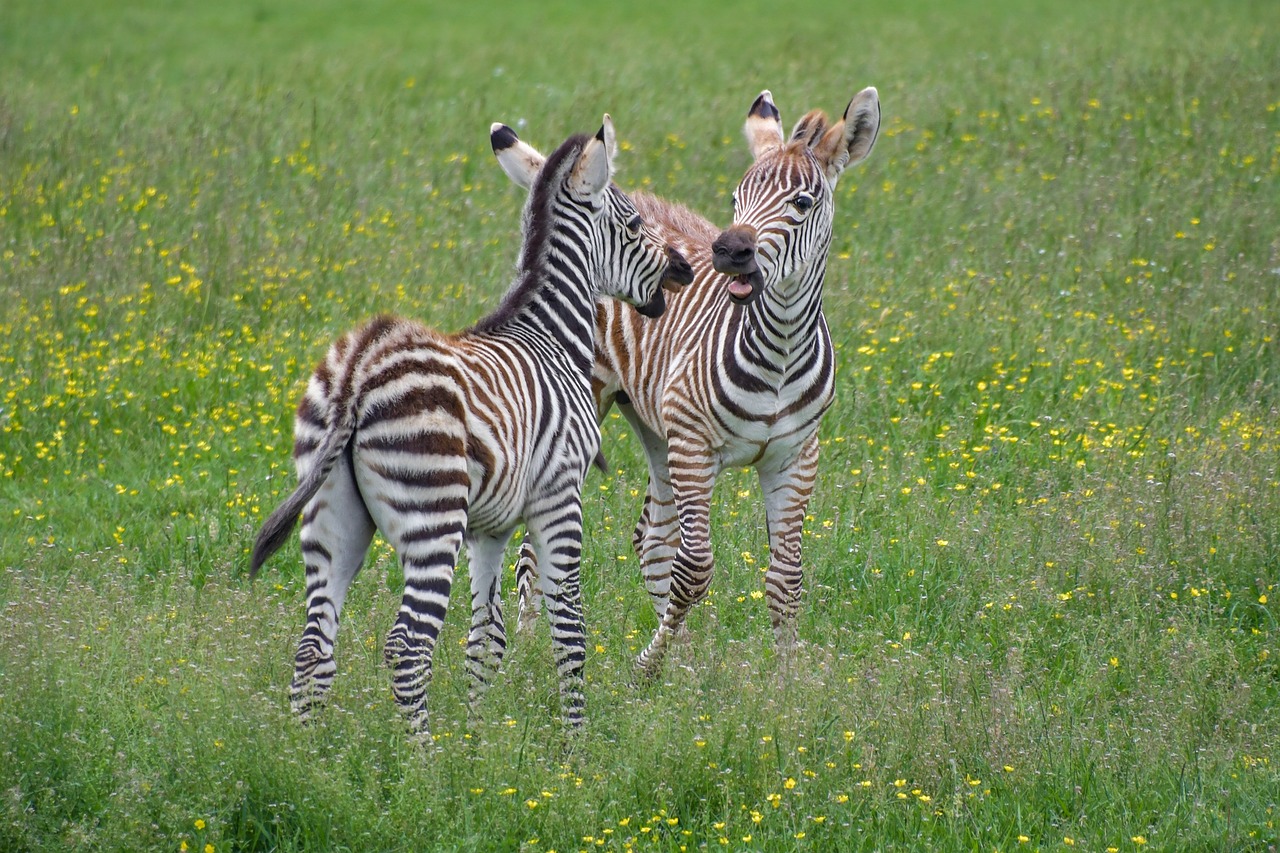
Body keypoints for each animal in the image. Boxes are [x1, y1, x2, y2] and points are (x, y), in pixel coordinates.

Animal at [245, 116, 696, 732]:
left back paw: (307, 750)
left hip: (333, 518)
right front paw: (575, 741)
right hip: (433, 517)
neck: (551, 333)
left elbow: (487, 638)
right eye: (634, 224)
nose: (685, 270)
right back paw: (423, 756)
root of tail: (359, 369)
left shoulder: (492, 526)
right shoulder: (560, 496)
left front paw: (479, 738)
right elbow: (570, 631)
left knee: (315, 644)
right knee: (407, 645)